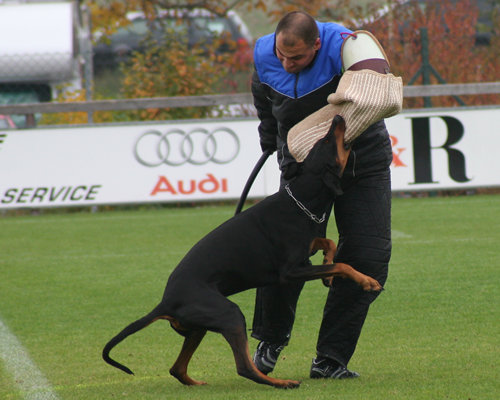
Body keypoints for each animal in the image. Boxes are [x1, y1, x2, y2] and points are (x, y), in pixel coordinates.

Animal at [102, 116, 382, 390]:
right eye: (325, 141)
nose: (338, 117)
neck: (301, 199)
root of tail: (166, 301)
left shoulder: (306, 249)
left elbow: (329, 243)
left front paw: (328, 275)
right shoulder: (290, 272)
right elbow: (343, 264)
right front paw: (367, 281)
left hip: (199, 327)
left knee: (177, 369)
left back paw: (197, 382)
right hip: (229, 314)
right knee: (244, 367)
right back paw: (282, 382)